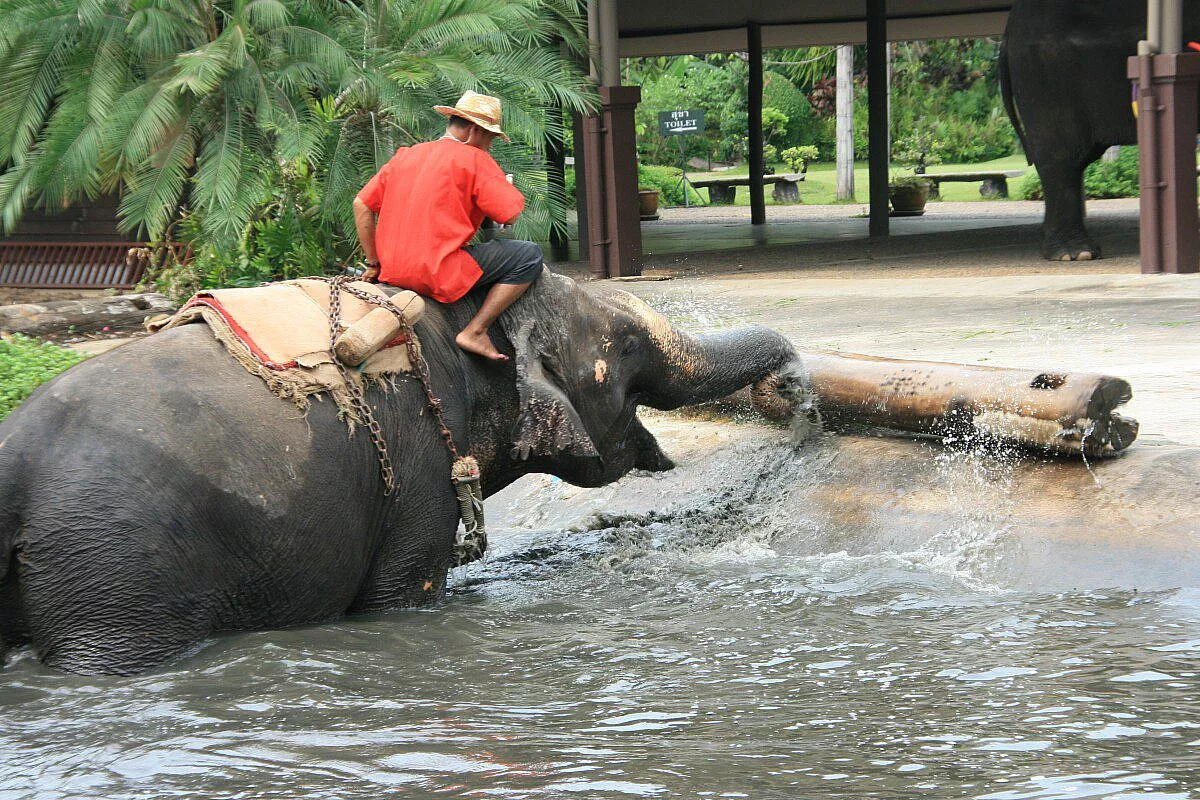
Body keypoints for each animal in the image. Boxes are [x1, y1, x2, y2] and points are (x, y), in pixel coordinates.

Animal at [0, 272, 795, 675]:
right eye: (627, 345)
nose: (790, 385)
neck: (464, 319)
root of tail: (13, 458)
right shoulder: (417, 457)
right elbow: (401, 593)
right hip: (116, 570)